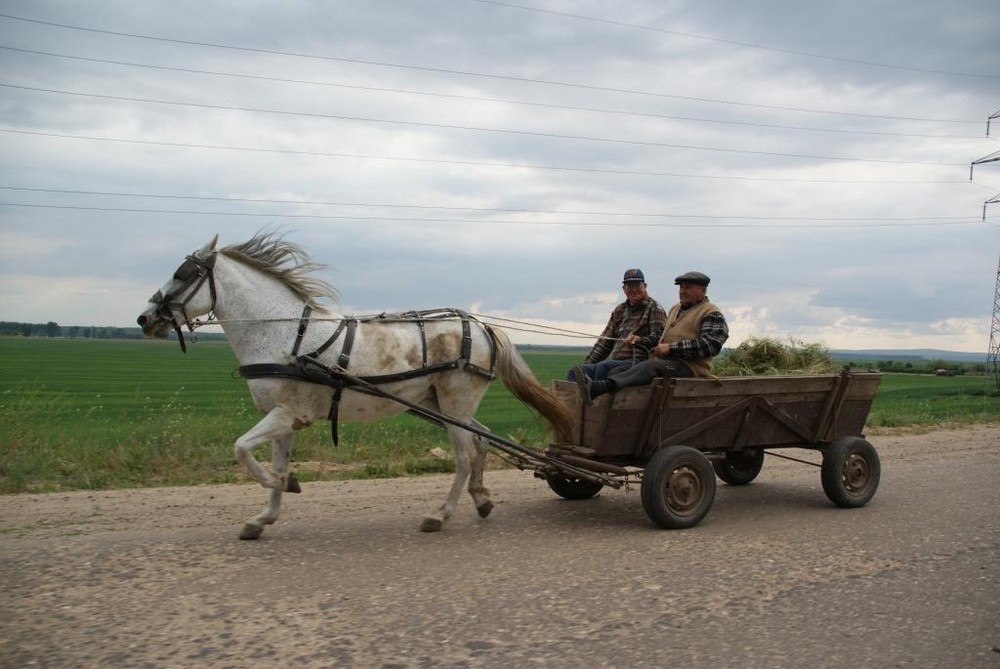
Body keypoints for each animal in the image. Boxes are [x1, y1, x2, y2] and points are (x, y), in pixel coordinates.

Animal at [136, 234, 572, 536]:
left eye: (183, 274)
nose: (145, 318)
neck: (285, 334)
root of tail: (481, 326)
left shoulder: (286, 413)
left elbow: (241, 448)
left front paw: (283, 484)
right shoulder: (284, 419)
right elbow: (271, 459)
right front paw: (265, 515)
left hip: (455, 403)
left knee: (465, 455)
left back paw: (440, 515)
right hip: (449, 406)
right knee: (481, 441)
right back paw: (481, 500)